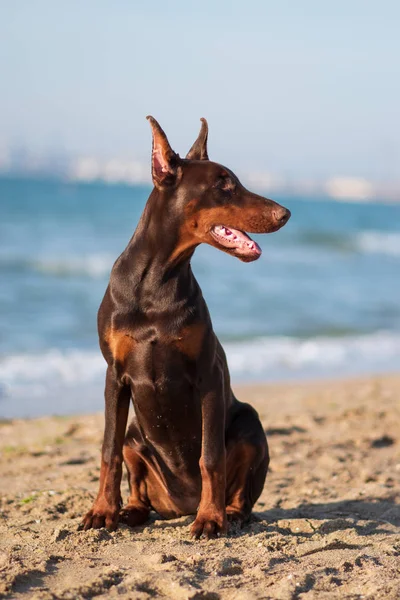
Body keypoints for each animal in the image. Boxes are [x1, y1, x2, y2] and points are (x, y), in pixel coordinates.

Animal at [79, 117, 290, 540]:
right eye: (224, 184)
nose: (285, 213)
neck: (156, 280)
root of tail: (180, 505)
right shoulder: (114, 375)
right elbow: (108, 450)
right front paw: (101, 511)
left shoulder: (208, 374)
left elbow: (211, 457)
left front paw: (210, 518)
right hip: (136, 437)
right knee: (136, 479)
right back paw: (130, 511)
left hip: (250, 424)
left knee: (241, 490)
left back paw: (227, 512)